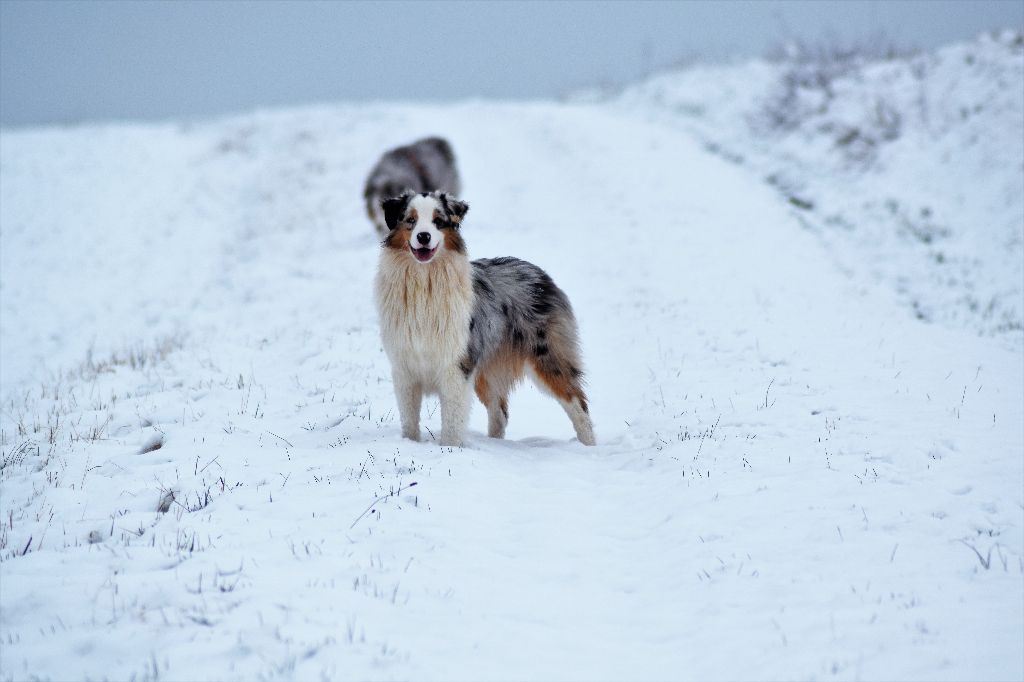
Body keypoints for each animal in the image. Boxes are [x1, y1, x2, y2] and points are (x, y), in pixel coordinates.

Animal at [376, 191, 598, 446]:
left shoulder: (456, 365)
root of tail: (540, 273)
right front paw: (410, 444)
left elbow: (452, 421)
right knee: (499, 411)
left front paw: (449, 449)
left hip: (546, 355)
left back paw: (588, 446)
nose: (424, 236)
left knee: (578, 403)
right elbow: (409, 420)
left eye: (438, 221)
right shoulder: (405, 367)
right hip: (487, 369)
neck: (424, 279)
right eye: (410, 220)